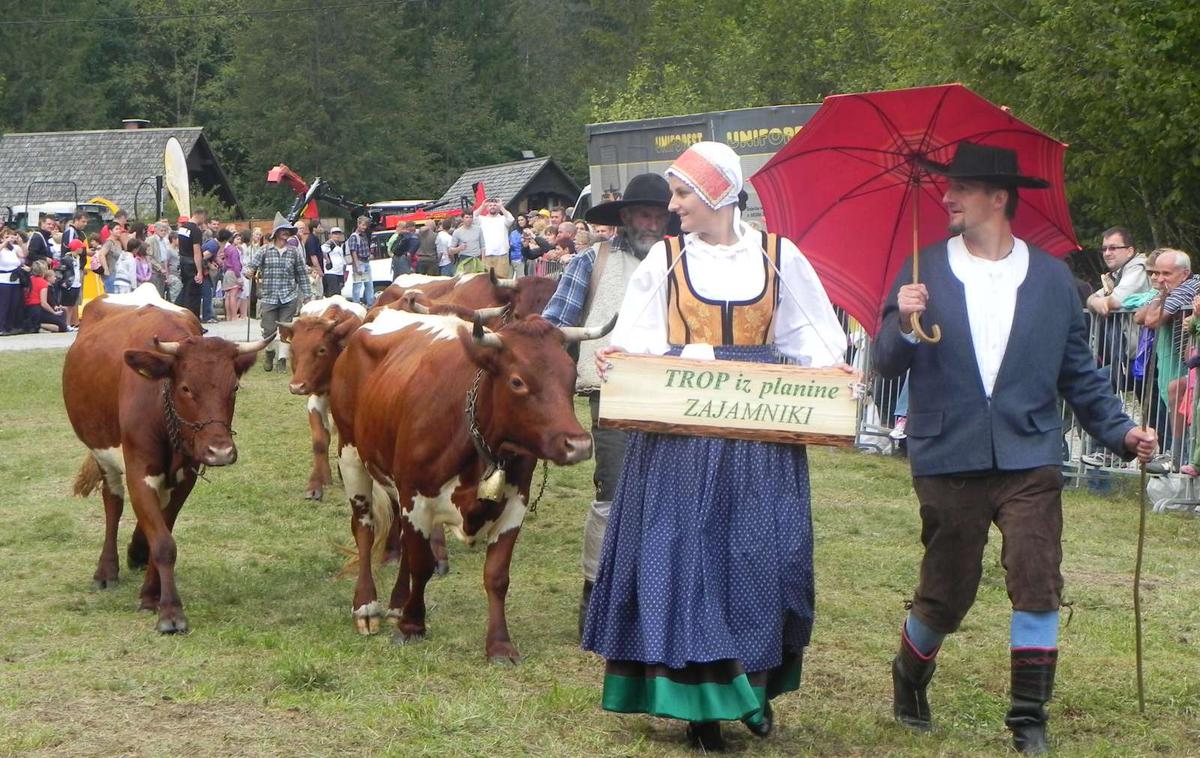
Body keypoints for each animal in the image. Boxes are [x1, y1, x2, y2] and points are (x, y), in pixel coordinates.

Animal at [63, 284, 272, 633]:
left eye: (234, 387)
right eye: (186, 388)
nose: (220, 451)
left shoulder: (185, 475)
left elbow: (163, 532)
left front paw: (151, 595)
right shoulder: (138, 470)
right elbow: (162, 542)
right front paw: (171, 611)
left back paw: (135, 552)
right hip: (103, 454)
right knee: (112, 503)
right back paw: (106, 570)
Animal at [274, 297, 364, 503]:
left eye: (321, 350)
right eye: (294, 349)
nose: (296, 386)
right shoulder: (316, 396)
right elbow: (320, 441)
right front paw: (315, 484)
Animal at [333, 311, 614, 662]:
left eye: (571, 376)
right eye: (517, 381)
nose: (578, 445)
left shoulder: (515, 504)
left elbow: (496, 576)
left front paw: (499, 644)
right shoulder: (416, 497)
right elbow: (423, 565)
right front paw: (412, 626)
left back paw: (397, 604)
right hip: (351, 454)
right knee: (364, 528)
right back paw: (366, 607)